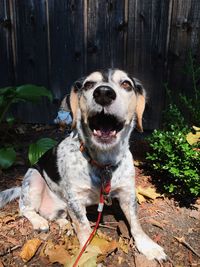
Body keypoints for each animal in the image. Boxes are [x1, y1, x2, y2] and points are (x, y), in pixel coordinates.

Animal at [0, 69, 166, 262]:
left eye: (126, 84)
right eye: (88, 85)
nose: (103, 93)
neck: (104, 163)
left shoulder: (128, 194)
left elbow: (136, 224)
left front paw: (149, 247)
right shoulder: (75, 200)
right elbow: (84, 227)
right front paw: (88, 253)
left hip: (59, 206)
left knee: (55, 216)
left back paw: (65, 224)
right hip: (33, 178)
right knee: (25, 209)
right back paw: (39, 222)